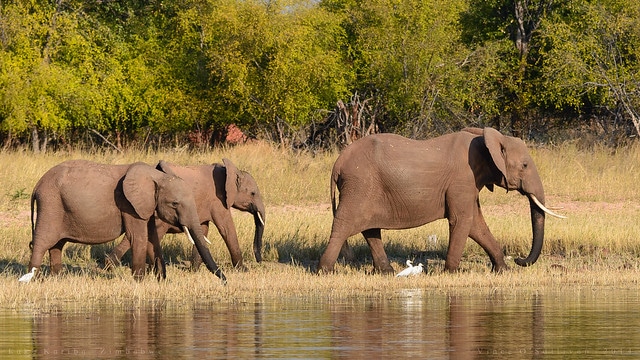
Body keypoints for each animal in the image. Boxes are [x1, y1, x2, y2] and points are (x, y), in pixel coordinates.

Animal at [28, 159, 226, 282]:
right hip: (50, 204)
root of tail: (37, 185)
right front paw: (140, 280)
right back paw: (33, 278)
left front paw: (161, 280)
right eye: (174, 204)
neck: (157, 177)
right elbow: (138, 237)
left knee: (57, 245)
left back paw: (57, 277)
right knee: (43, 241)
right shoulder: (129, 205)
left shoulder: (146, 206)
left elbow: (152, 238)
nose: (224, 281)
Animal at [106, 159, 266, 272]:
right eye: (253, 193)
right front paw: (243, 270)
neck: (229, 171)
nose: (260, 261)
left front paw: (194, 270)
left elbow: (203, 230)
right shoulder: (218, 200)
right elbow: (226, 229)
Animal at [316, 128, 564, 274]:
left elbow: (476, 225)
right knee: (344, 225)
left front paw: (502, 270)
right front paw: (452, 272)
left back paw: (386, 272)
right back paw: (325, 271)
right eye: (524, 165)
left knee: (370, 229)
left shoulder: (469, 184)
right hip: (359, 185)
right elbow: (462, 221)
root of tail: (338, 163)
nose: (520, 260)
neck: (487, 138)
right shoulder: (462, 180)